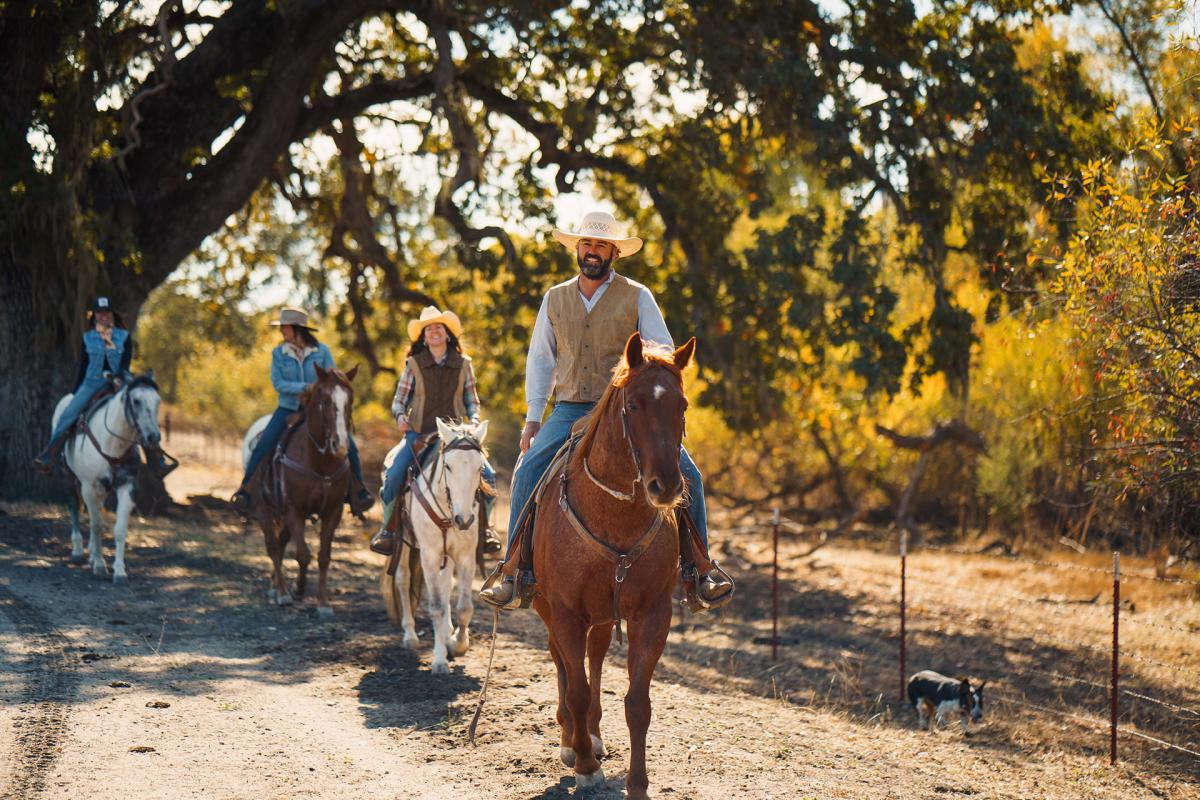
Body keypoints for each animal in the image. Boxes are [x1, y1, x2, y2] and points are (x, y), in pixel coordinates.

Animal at [51, 376, 162, 582]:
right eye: (136, 401)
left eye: (157, 401)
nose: (153, 437)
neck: (112, 444)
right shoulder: (88, 487)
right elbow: (96, 525)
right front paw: (100, 564)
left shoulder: (127, 486)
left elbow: (119, 529)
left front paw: (119, 570)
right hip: (69, 477)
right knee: (74, 507)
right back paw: (79, 552)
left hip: (102, 489)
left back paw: (91, 553)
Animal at [244, 367, 352, 618]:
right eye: (325, 401)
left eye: (350, 401)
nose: (340, 445)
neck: (320, 462)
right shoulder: (295, 510)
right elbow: (303, 554)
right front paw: (297, 589)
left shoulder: (333, 511)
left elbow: (323, 556)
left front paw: (323, 603)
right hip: (263, 508)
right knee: (273, 546)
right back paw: (282, 592)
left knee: (281, 541)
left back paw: (275, 586)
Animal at [376, 419, 484, 676]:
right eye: (448, 466)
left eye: (479, 468)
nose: (464, 520)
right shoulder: (429, 555)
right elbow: (435, 606)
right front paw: (439, 660)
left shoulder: (465, 556)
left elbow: (464, 606)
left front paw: (458, 644)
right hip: (405, 546)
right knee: (403, 581)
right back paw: (410, 636)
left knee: (446, 587)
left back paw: (446, 633)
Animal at [532, 333, 696, 800]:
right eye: (634, 405)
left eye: (681, 404)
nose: (666, 486)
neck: (614, 516)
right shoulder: (565, 612)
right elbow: (577, 690)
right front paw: (585, 766)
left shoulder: (653, 614)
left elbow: (638, 703)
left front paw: (637, 784)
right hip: (550, 609)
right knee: (564, 666)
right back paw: (571, 741)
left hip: (604, 616)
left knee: (596, 655)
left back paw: (592, 735)